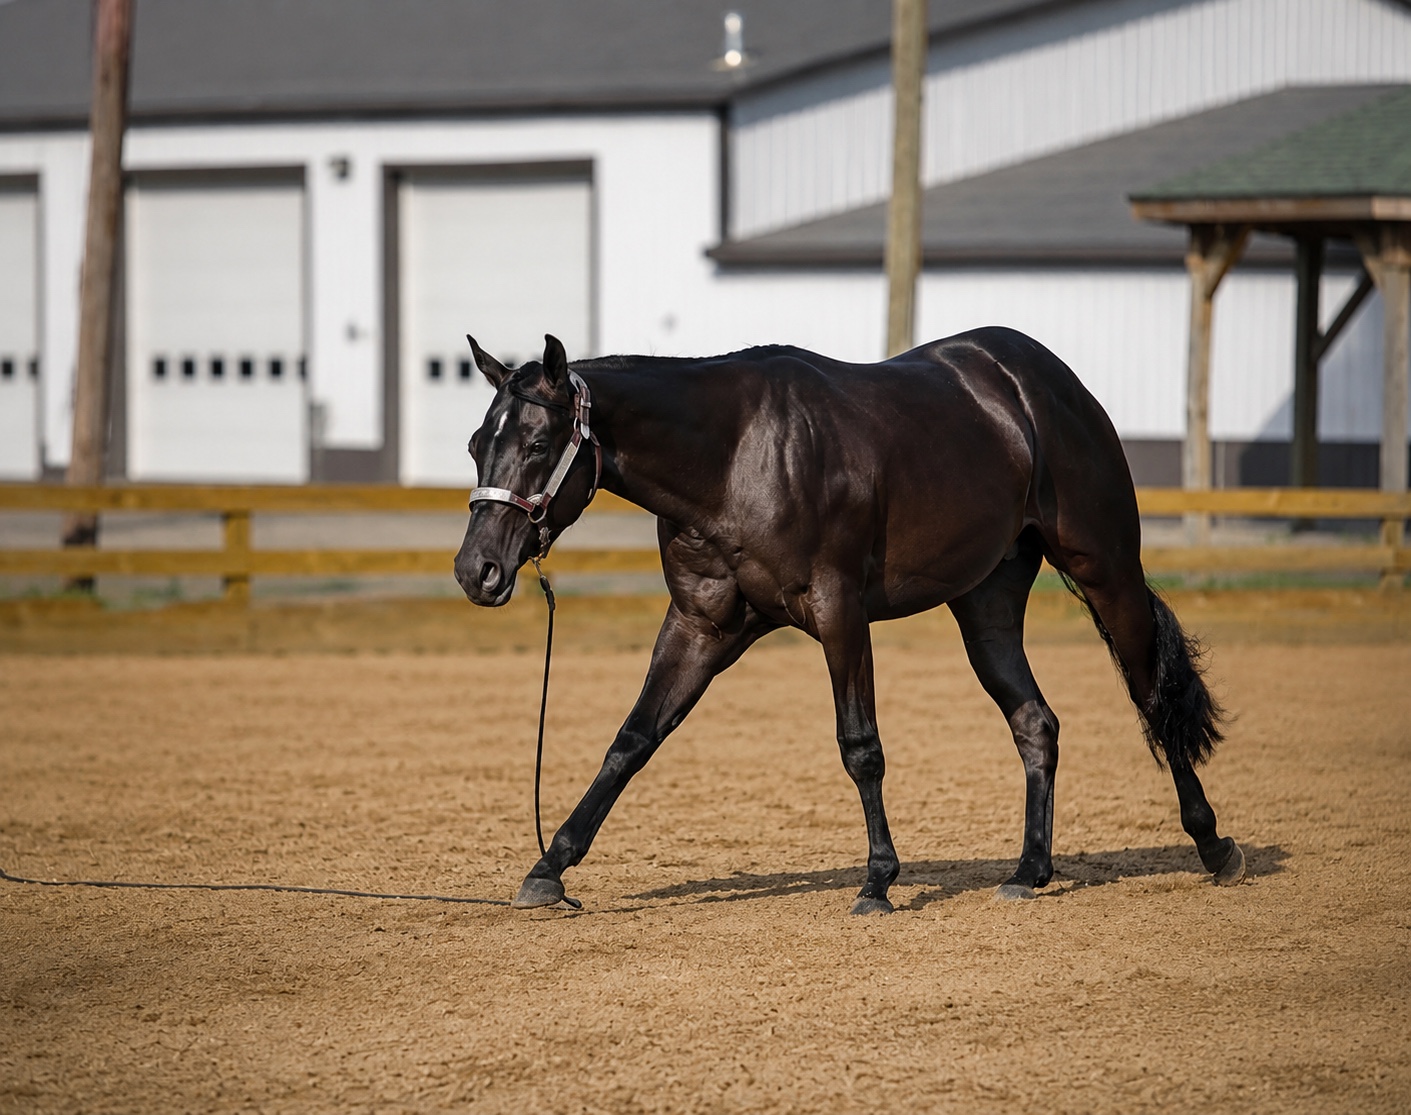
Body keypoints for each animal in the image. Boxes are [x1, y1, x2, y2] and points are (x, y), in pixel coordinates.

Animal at [453, 328, 1245, 914]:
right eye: (474, 444)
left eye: (536, 444)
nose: (475, 570)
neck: (733, 457)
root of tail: (1042, 380)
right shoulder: (701, 625)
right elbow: (632, 740)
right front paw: (549, 866)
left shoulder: (839, 612)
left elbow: (860, 746)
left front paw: (878, 880)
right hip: (985, 604)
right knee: (1035, 722)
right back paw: (1028, 870)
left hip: (1104, 566)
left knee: (1151, 697)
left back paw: (1213, 846)